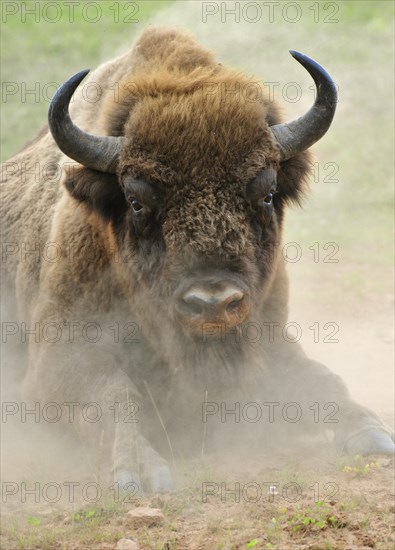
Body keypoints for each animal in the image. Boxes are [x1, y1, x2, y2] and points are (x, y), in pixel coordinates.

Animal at [1, 28, 394, 494]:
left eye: (266, 193)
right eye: (136, 200)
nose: (213, 303)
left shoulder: (272, 338)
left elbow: (319, 378)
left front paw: (372, 433)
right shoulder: (58, 362)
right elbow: (116, 397)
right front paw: (141, 472)